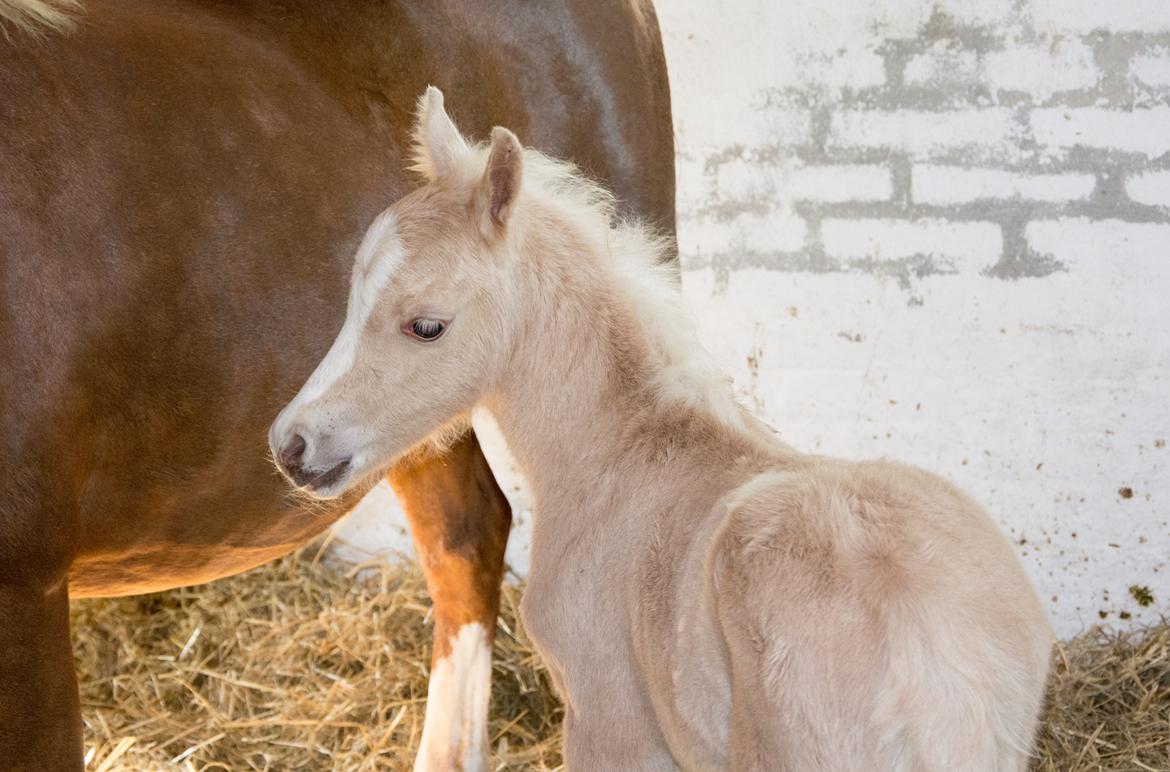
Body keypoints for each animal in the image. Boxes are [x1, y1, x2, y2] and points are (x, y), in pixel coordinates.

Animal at [272, 88, 1054, 770]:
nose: (293, 444)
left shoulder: (610, 723)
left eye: (426, 325)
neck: (622, 449)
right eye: (353, 293)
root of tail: (932, 660)